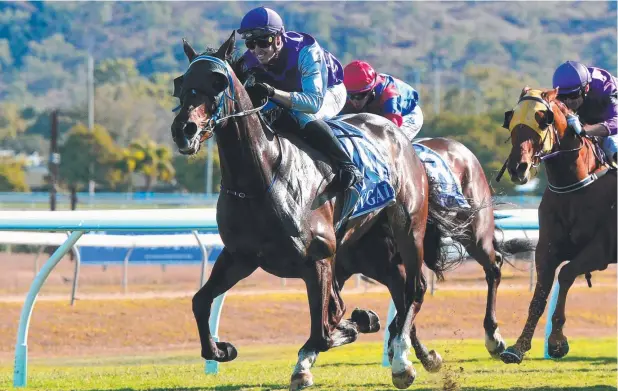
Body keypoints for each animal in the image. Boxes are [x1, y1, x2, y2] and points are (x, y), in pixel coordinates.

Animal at [498, 88, 612, 364]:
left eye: (542, 120)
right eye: (512, 120)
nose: (518, 168)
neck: (575, 187)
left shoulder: (602, 250)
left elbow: (567, 274)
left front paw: (557, 341)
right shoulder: (546, 249)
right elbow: (540, 295)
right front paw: (518, 347)